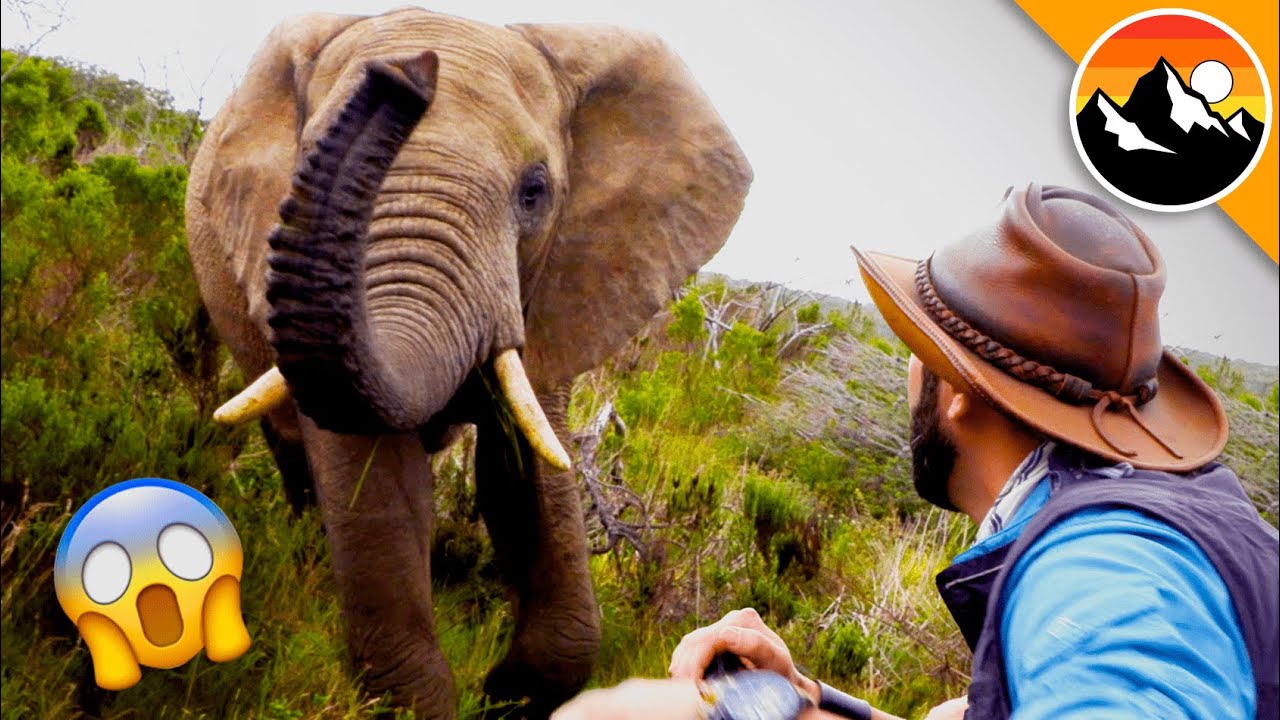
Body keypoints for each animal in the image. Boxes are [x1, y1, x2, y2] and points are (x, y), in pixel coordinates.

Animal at [184, 7, 751, 719]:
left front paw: (506, 692)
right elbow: (378, 488)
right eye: (300, 167)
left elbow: (525, 474)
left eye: (535, 192)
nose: (409, 72)